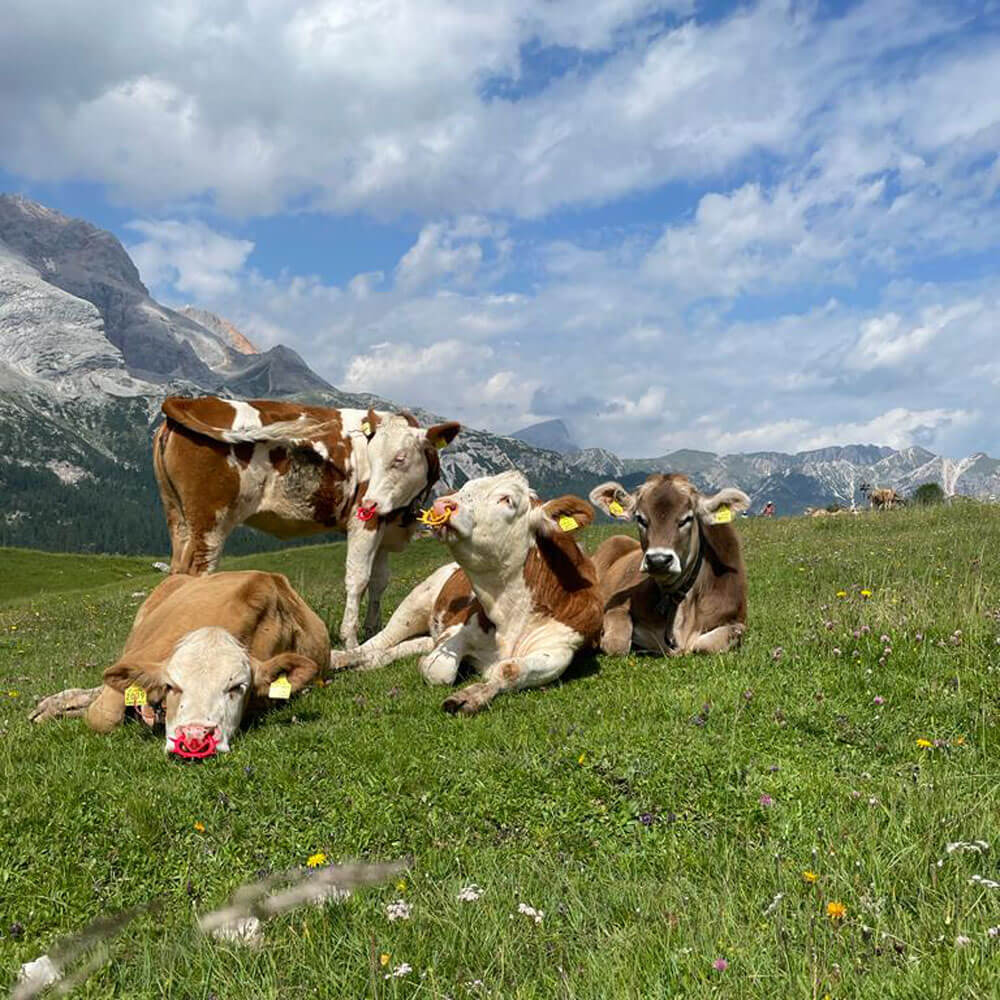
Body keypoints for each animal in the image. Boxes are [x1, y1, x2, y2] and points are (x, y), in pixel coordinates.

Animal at [151, 398, 460, 648]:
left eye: (400, 458)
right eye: (371, 457)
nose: (370, 503)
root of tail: (192, 401)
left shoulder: (385, 527)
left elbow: (379, 581)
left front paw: (372, 631)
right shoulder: (364, 522)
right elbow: (358, 578)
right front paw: (350, 641)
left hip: (177, 518)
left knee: (176, 574)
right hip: (210, 523)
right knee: (197, 574)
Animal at [332, 472, 604, 716]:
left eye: (507, 499)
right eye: (465, 487)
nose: (441, 504)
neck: (509, 614)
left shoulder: (561, 650)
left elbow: (508, 670)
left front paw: (472, 695)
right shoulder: (458, 627)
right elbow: (439, 670)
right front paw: (430, 666)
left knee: (400, 648)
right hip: (415, 603)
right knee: (379, 641)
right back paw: (340, 658)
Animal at [584, 474, 752, 656]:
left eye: (687, 519)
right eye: (640, 518)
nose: (658, 560)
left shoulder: (736, 621)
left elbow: (706, 644)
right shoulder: (616, 605)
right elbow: (617, 644)